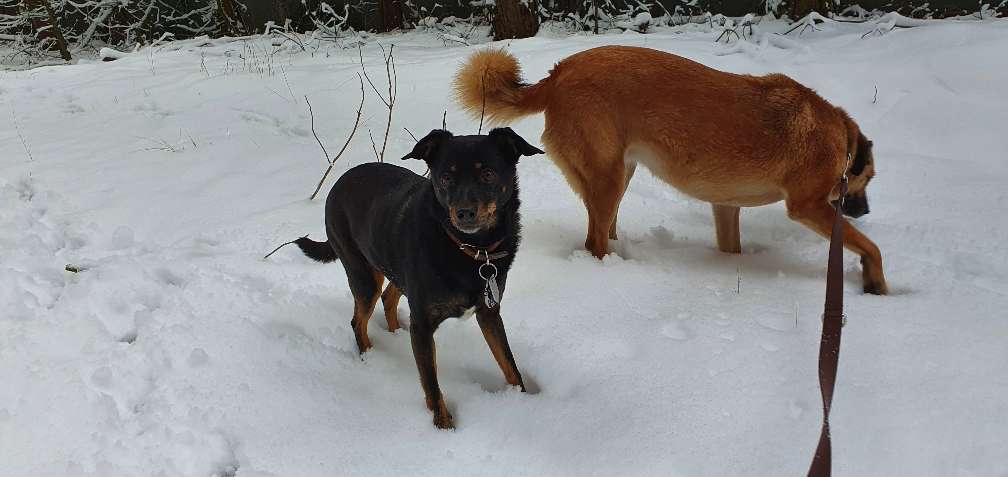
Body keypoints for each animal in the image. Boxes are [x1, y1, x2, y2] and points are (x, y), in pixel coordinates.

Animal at [293, 127, 544, 429]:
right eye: (445, 177)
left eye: (488, 174)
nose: (464, 212)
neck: (471, 250)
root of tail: (339, 181)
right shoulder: (423, 324)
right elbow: (431, 382)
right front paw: (443, 425)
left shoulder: (489, 312)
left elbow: (509, 365)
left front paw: (524, 402)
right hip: (362, 273)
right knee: (358, 320)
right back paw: (370, 357)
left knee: (389, 297)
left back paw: (396, 332)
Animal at [454, 46, 888, 294]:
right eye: (867, 181)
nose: (866, 211)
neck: (840, 137)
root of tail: (557, 74)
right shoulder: (809, 207)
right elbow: (871, 246)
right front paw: (877, 282)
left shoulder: (726, 207)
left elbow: (731, 244)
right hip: (610, 178)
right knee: (594, 242)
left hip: (619, 176)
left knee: (602, 229)